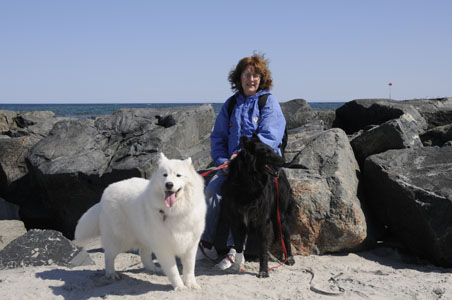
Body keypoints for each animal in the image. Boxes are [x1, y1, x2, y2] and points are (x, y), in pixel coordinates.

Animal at [74, 154, 207, 290]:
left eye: (178, 175)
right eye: (165, 175)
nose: (169, 184)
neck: (175, 211)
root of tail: (104, 195)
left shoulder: (190, 245)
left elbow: (189, 268)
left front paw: (191, 284)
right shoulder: (164, 246)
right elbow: (173, 270)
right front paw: (179, 286)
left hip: (144, 236)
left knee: (144, 255)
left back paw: (153, 269)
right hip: (119, 239)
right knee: (109, 256)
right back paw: (111, 273)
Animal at [222, 135, 296, 278]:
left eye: (272, 149)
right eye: (266, 152)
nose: (284, 161)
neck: (247, 186)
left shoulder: (262, 222)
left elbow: (263, 248)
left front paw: (263, 271)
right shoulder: (236, 223)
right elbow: (238, 247)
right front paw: (235, 267)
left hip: (280, 217)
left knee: (286, 237)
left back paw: (289, 258)